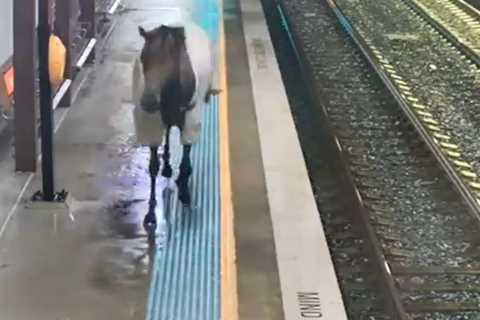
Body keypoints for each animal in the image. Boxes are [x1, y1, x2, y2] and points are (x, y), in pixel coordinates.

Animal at [133, 23, 219, 232]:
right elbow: (153, 166)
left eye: (169, 62)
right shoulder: (152, 124)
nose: (147, 101)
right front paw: (150, 214)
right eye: (143, 58)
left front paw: (185, 193)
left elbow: (186, 162)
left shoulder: (190, 122)